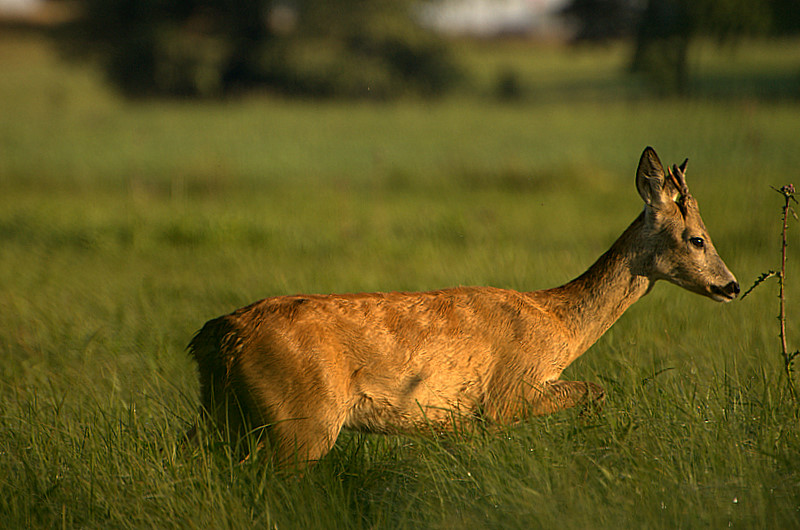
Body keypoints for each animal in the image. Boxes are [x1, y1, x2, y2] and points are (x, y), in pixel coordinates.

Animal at [184, 145, 740, 466]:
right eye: (696, 238)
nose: (732, 286)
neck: (558, 325)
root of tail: (217, 336)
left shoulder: (461, 420)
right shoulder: (507, 395)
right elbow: (597, 389)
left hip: (224, 408)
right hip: (301, 420)